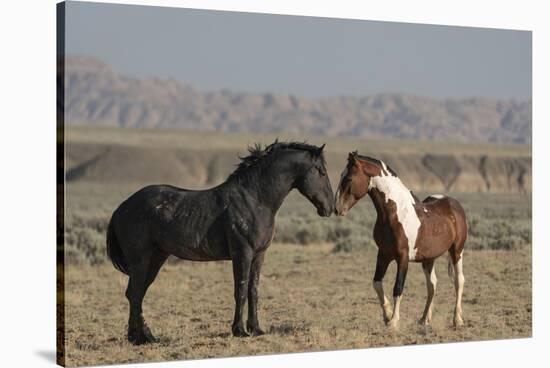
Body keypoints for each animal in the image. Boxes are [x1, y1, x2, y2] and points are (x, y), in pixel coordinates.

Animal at [105, 139, 334, 344]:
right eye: (321, 172)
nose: (330, 207)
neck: (255, 200)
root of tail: (121, 208)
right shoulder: (242, 253)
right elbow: (240, 290)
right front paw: (239, 330)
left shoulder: (259, 255)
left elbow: (253, 291)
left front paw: (256, 328)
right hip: (141, 260)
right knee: (135, 293)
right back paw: (138, 338)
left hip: (157, 257)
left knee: (137, 293)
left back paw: (144, 336)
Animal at [334, 152, 468, 328]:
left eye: (348, 178)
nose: (337, 208)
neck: (394, 214)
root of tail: (453, 203)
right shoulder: (383, 255)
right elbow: (377, 283)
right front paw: (387, 315)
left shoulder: (402, 258)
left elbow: (398, 288)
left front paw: (393, 321)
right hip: (429, 259)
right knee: (432, 284)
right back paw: (424, 319)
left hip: (456, 251)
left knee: (459, 281)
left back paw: (457, 319)